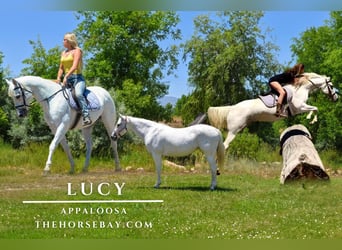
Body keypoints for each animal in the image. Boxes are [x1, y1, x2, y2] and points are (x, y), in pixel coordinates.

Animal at [206, 72, 340, 150]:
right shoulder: (299, 107)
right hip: (234, 130)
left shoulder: (300, 108)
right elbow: (315, 108)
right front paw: (311, 119)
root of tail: (233, 107)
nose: (336, 98)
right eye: (332, 86)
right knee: (224, 146)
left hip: (239, 128)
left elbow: (315, 108)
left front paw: (310, 118)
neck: (301, 88)